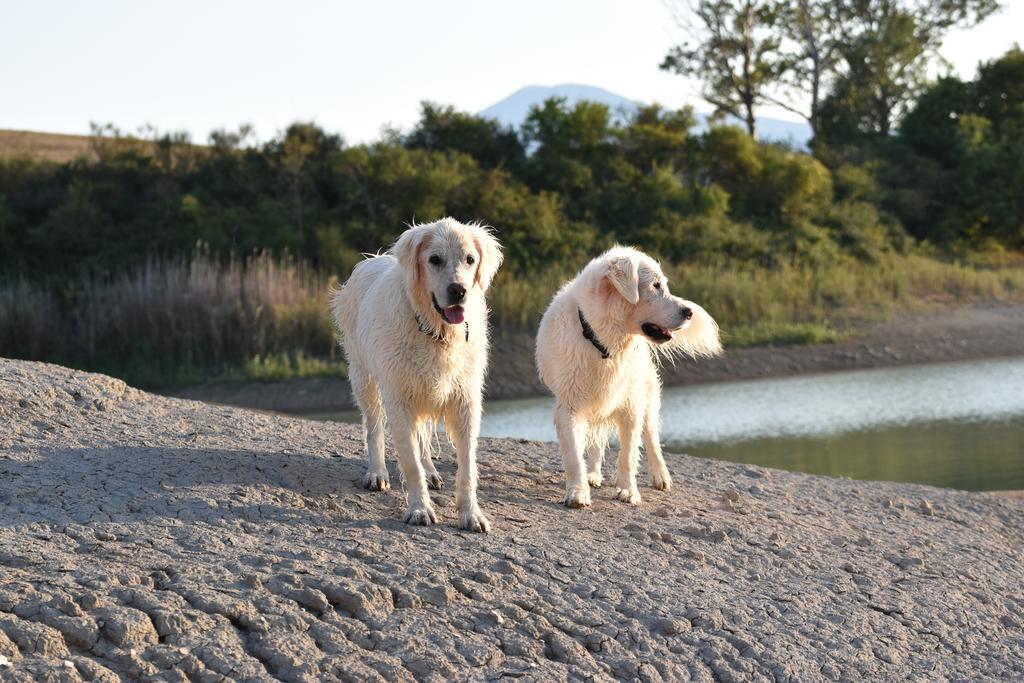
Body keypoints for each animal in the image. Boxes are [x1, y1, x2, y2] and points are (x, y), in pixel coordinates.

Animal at [329, 218, 501, 528]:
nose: (458, 290)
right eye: (434, 259)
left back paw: (432, 471)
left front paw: (471, 514)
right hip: (364, 377)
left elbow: (467, 466)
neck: (437, 334)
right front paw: (419, 509)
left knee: (422, 435)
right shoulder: (398, 396)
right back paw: (377, 473)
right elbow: (409, 462)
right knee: (374, 428)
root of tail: (371, 259)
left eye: (470, 259)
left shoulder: (465, 399)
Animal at [536, 245, 720, 507]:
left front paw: (627, 490)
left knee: (651, 436)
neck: (604, 343)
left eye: (664, 285)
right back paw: (593, 475)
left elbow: (629, 453)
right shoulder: (569, 406)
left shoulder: (631, 404)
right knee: (595, 443)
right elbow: (574, 455)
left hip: (648, 396)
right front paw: (578, 492)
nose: (689, 312)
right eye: (655, 286)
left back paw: (660, 476)